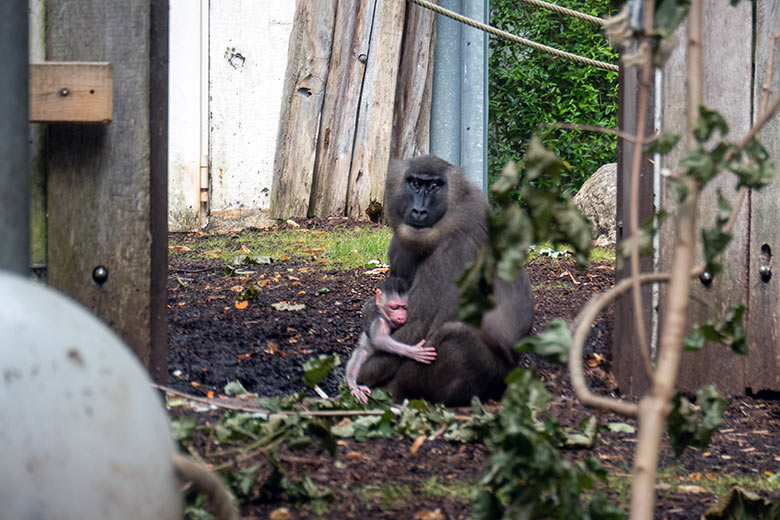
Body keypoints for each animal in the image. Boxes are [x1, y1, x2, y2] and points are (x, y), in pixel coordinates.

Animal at [356, 154, 532, 406]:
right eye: (415, 183)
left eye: (435, 187)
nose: (419, 211)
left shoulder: (456, 249)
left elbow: (420, 325)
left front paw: (361, 374)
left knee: (453, 335)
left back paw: (393, 392)